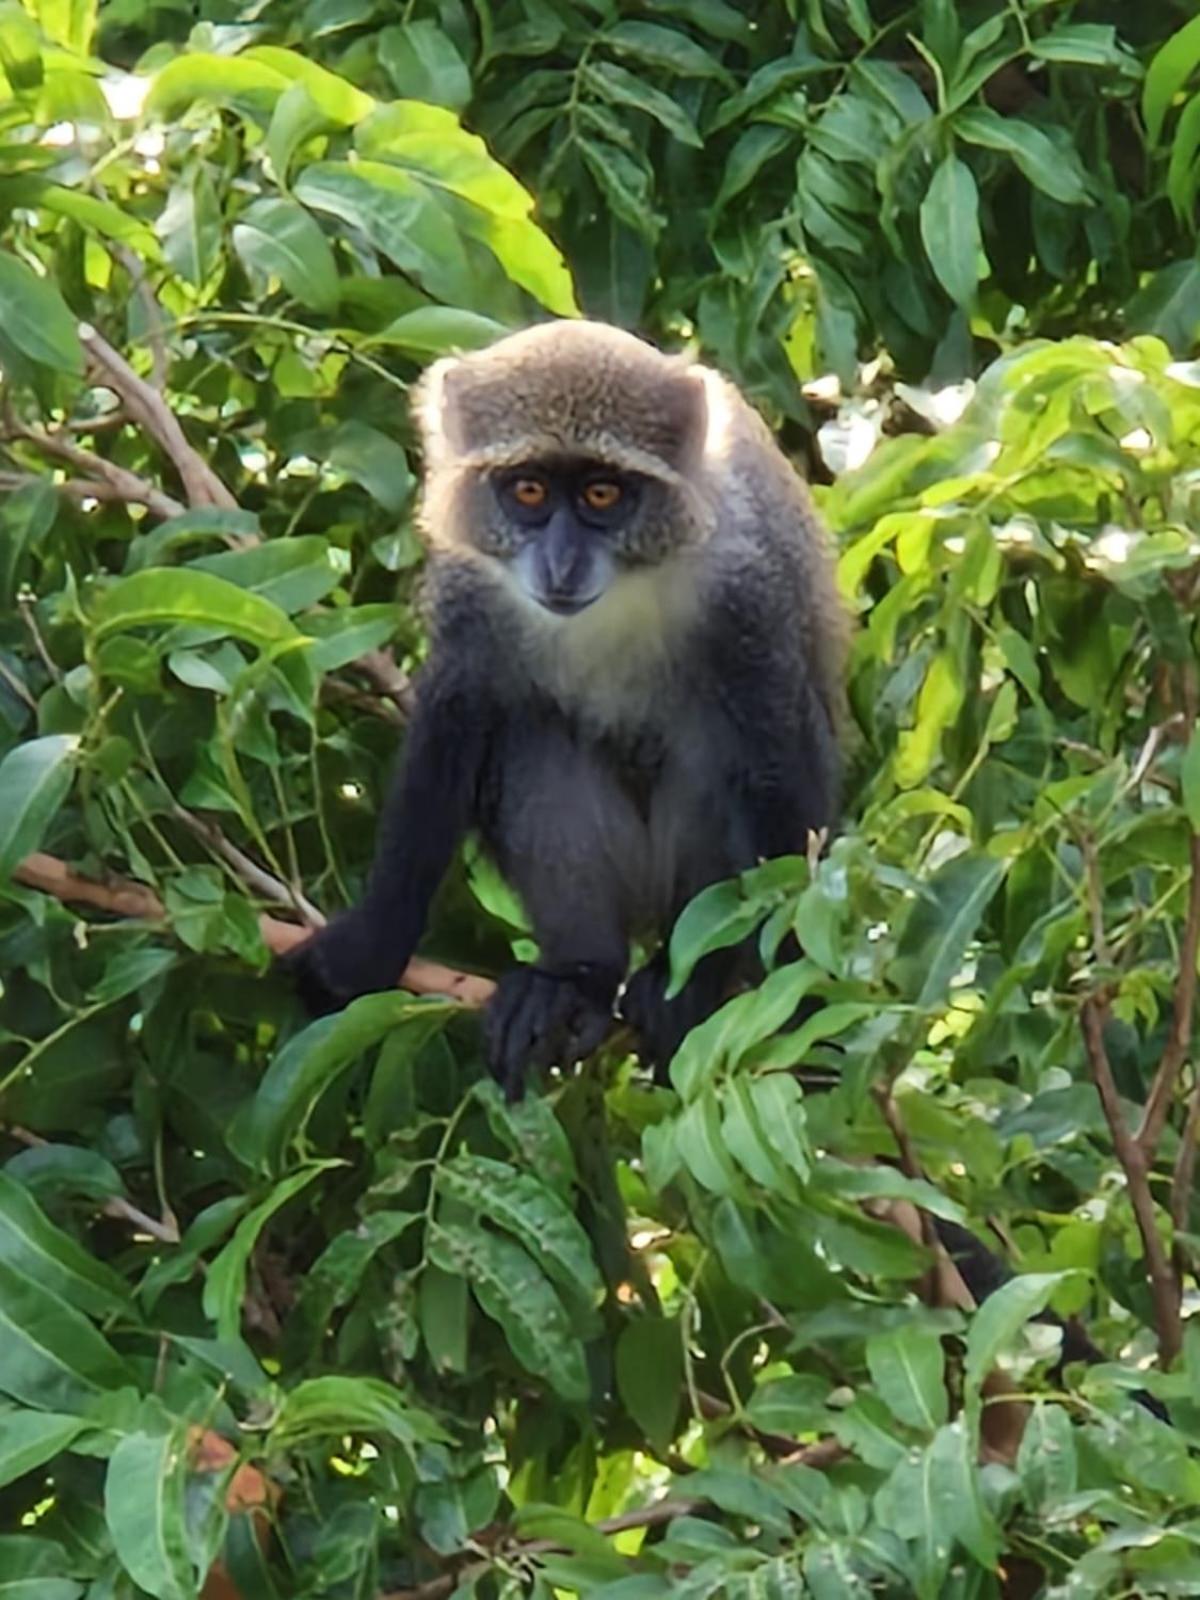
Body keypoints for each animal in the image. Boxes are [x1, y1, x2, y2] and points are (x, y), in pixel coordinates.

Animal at [288, 320, 847, 1098]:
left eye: (603, 494)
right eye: (527, 490)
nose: (560, 565)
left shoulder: (747, 596)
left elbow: (780, 780)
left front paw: (777, 1002)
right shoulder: (471, 592)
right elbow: (455, 723)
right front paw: (371, 943)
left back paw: (682, 985)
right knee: (533, 733)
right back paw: (577, 981)